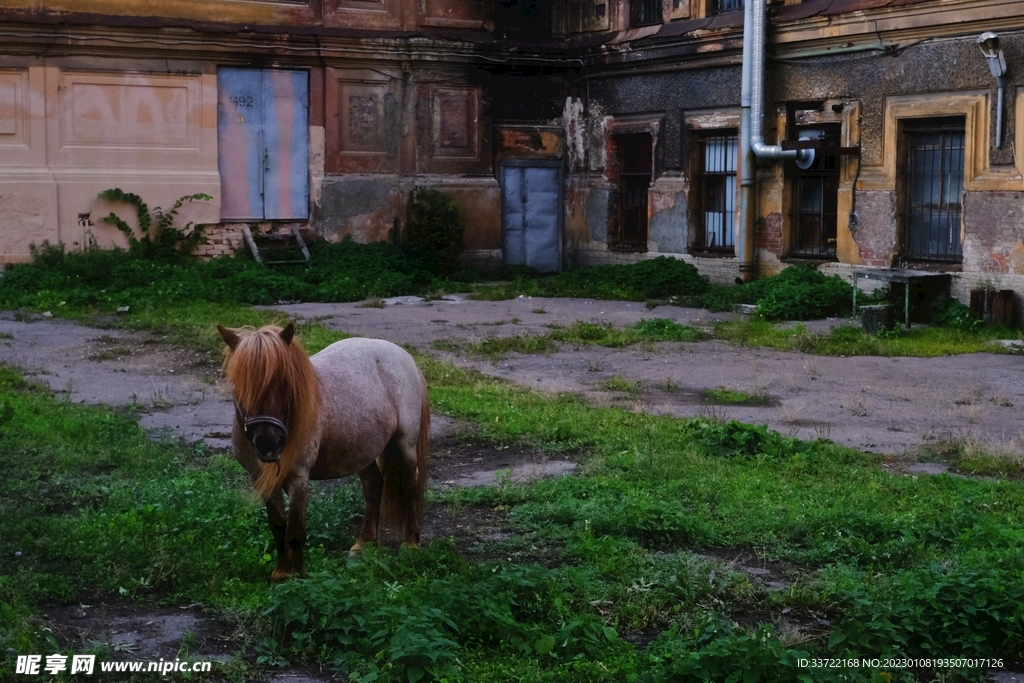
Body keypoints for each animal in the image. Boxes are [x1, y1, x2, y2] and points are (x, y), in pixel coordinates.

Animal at [217, 323, 429, 582]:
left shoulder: (299, 479)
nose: (269, 443)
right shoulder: (260, 478)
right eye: (239, 384)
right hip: (362, 450)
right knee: (373, 485)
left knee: (411, 484)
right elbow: (278, 525)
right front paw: (282, 572)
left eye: (284, 382)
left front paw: (299, 575)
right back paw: (365, 543)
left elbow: (296, 529)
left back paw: (411, 544)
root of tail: (403, 355)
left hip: (405, 443)